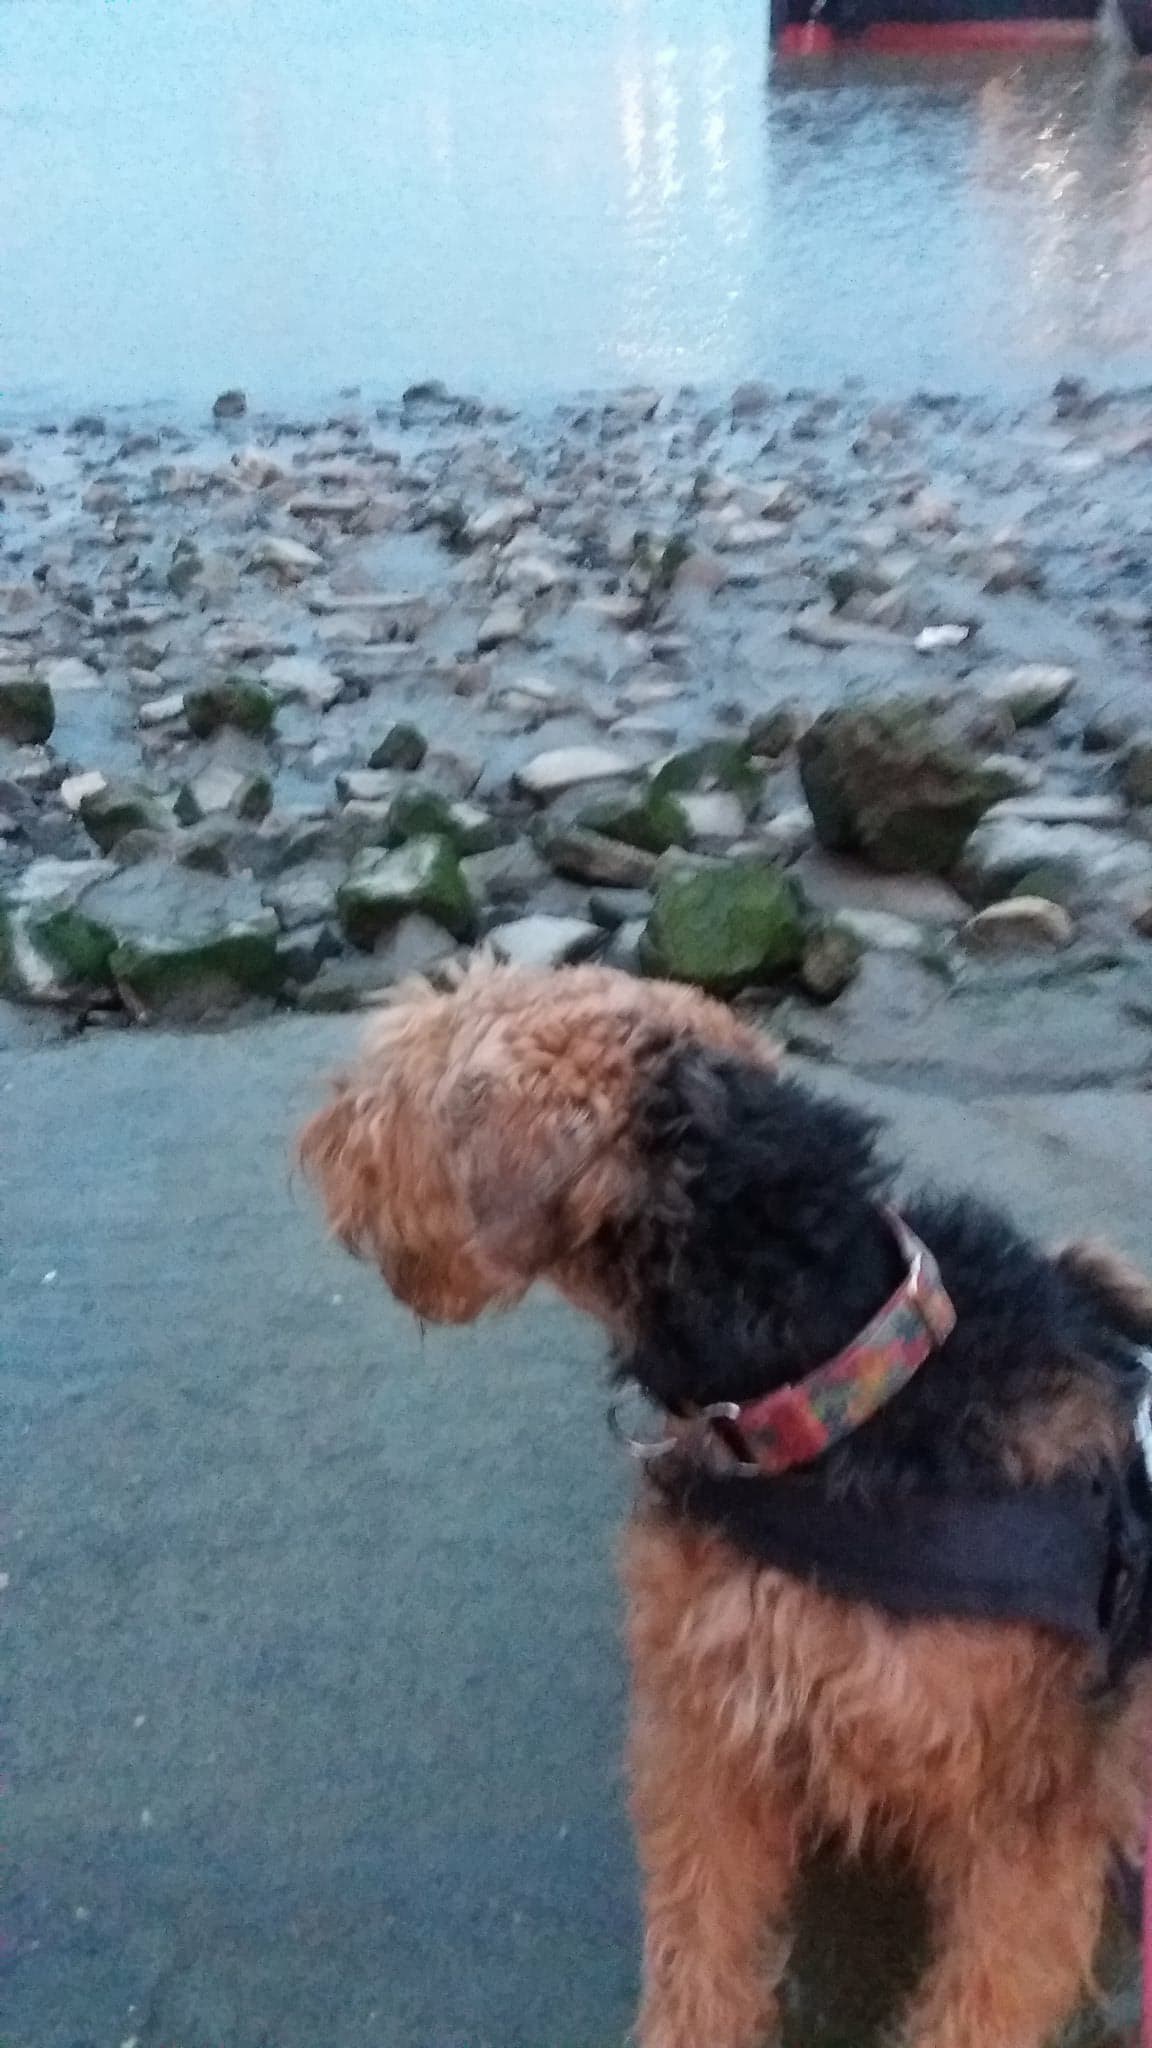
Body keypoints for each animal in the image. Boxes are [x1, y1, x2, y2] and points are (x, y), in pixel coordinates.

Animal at [301, 959, 1152, 2048]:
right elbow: (700, 1933)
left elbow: (984, 1994)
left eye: (418, 1066)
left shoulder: (1024, 1807)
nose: (315, 1139)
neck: (829, 1378)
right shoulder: (711, 1724)